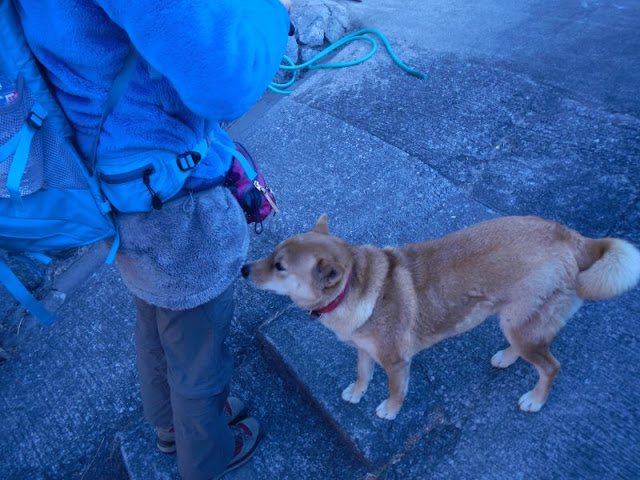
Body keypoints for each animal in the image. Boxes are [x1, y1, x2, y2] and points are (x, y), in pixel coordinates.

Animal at [241, 215, 640, 420]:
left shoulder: (396, 362)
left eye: (279, 266)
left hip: (523, 325)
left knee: (550, 367)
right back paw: (506, 358)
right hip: (516, 322)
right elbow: (361, 373)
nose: (243, 269)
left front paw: (389, 409)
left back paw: (536, 399)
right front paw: (357, 392)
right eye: (272, 254)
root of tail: (572, 237)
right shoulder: (364, 348)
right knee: (528, 351)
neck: (354, 286)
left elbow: (394, 390)